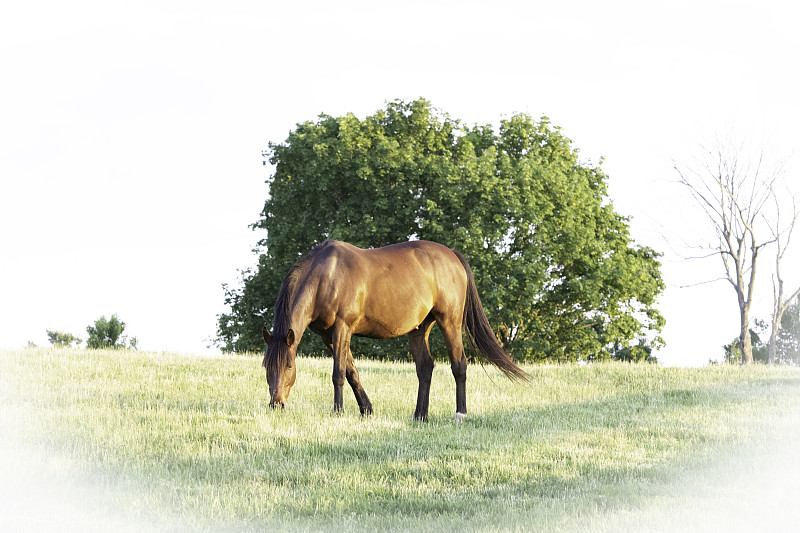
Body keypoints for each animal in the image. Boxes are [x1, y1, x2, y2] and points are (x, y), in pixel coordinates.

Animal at [260, 240, 528, 420]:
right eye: (266, 367)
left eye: (289, 365)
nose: (276, 404)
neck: (327, 276)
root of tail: (452, 255)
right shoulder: (329, 336)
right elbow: (352, 372)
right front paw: (366, 410)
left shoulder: (342, 328)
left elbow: (338, 373)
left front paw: (338, 411)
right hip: (419, 328)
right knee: (425, 368)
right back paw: (420, 416)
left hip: (450, 322)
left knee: (459, 364)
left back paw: (460, 414)